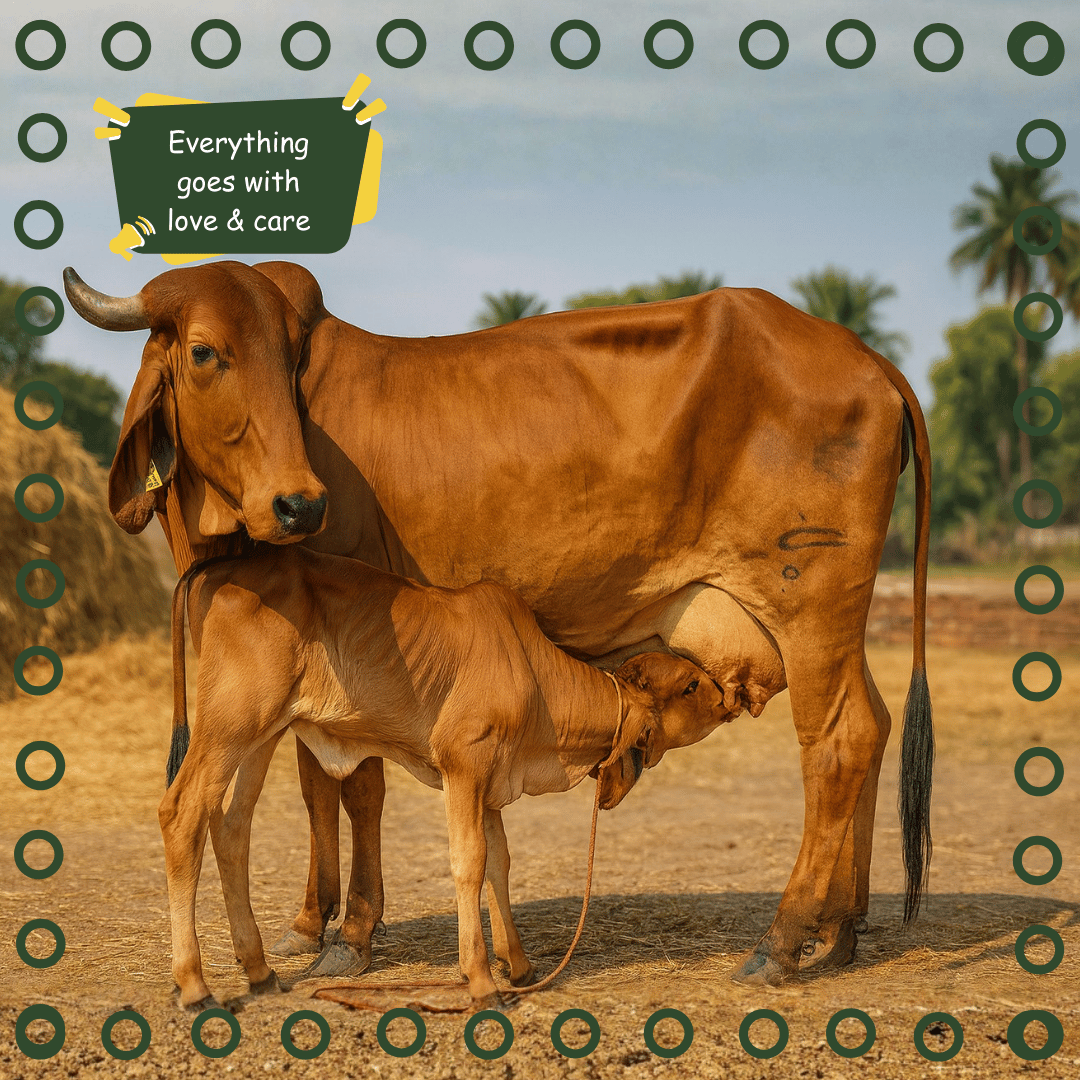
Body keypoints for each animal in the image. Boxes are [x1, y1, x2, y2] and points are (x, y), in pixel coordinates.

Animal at [164, 546, 732, 1009]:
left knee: (231, 825)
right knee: (182, 813)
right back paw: (194, 985)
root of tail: (219, 568)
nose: (728, 696)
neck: (534, 675)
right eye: (689, 685)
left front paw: (519, 966)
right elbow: (470, 862)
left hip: (264, 733)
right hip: (230, 726)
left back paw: (260, 972)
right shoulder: (464, 765)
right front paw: (480, 978)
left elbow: (500, 862)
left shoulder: (492, 784)